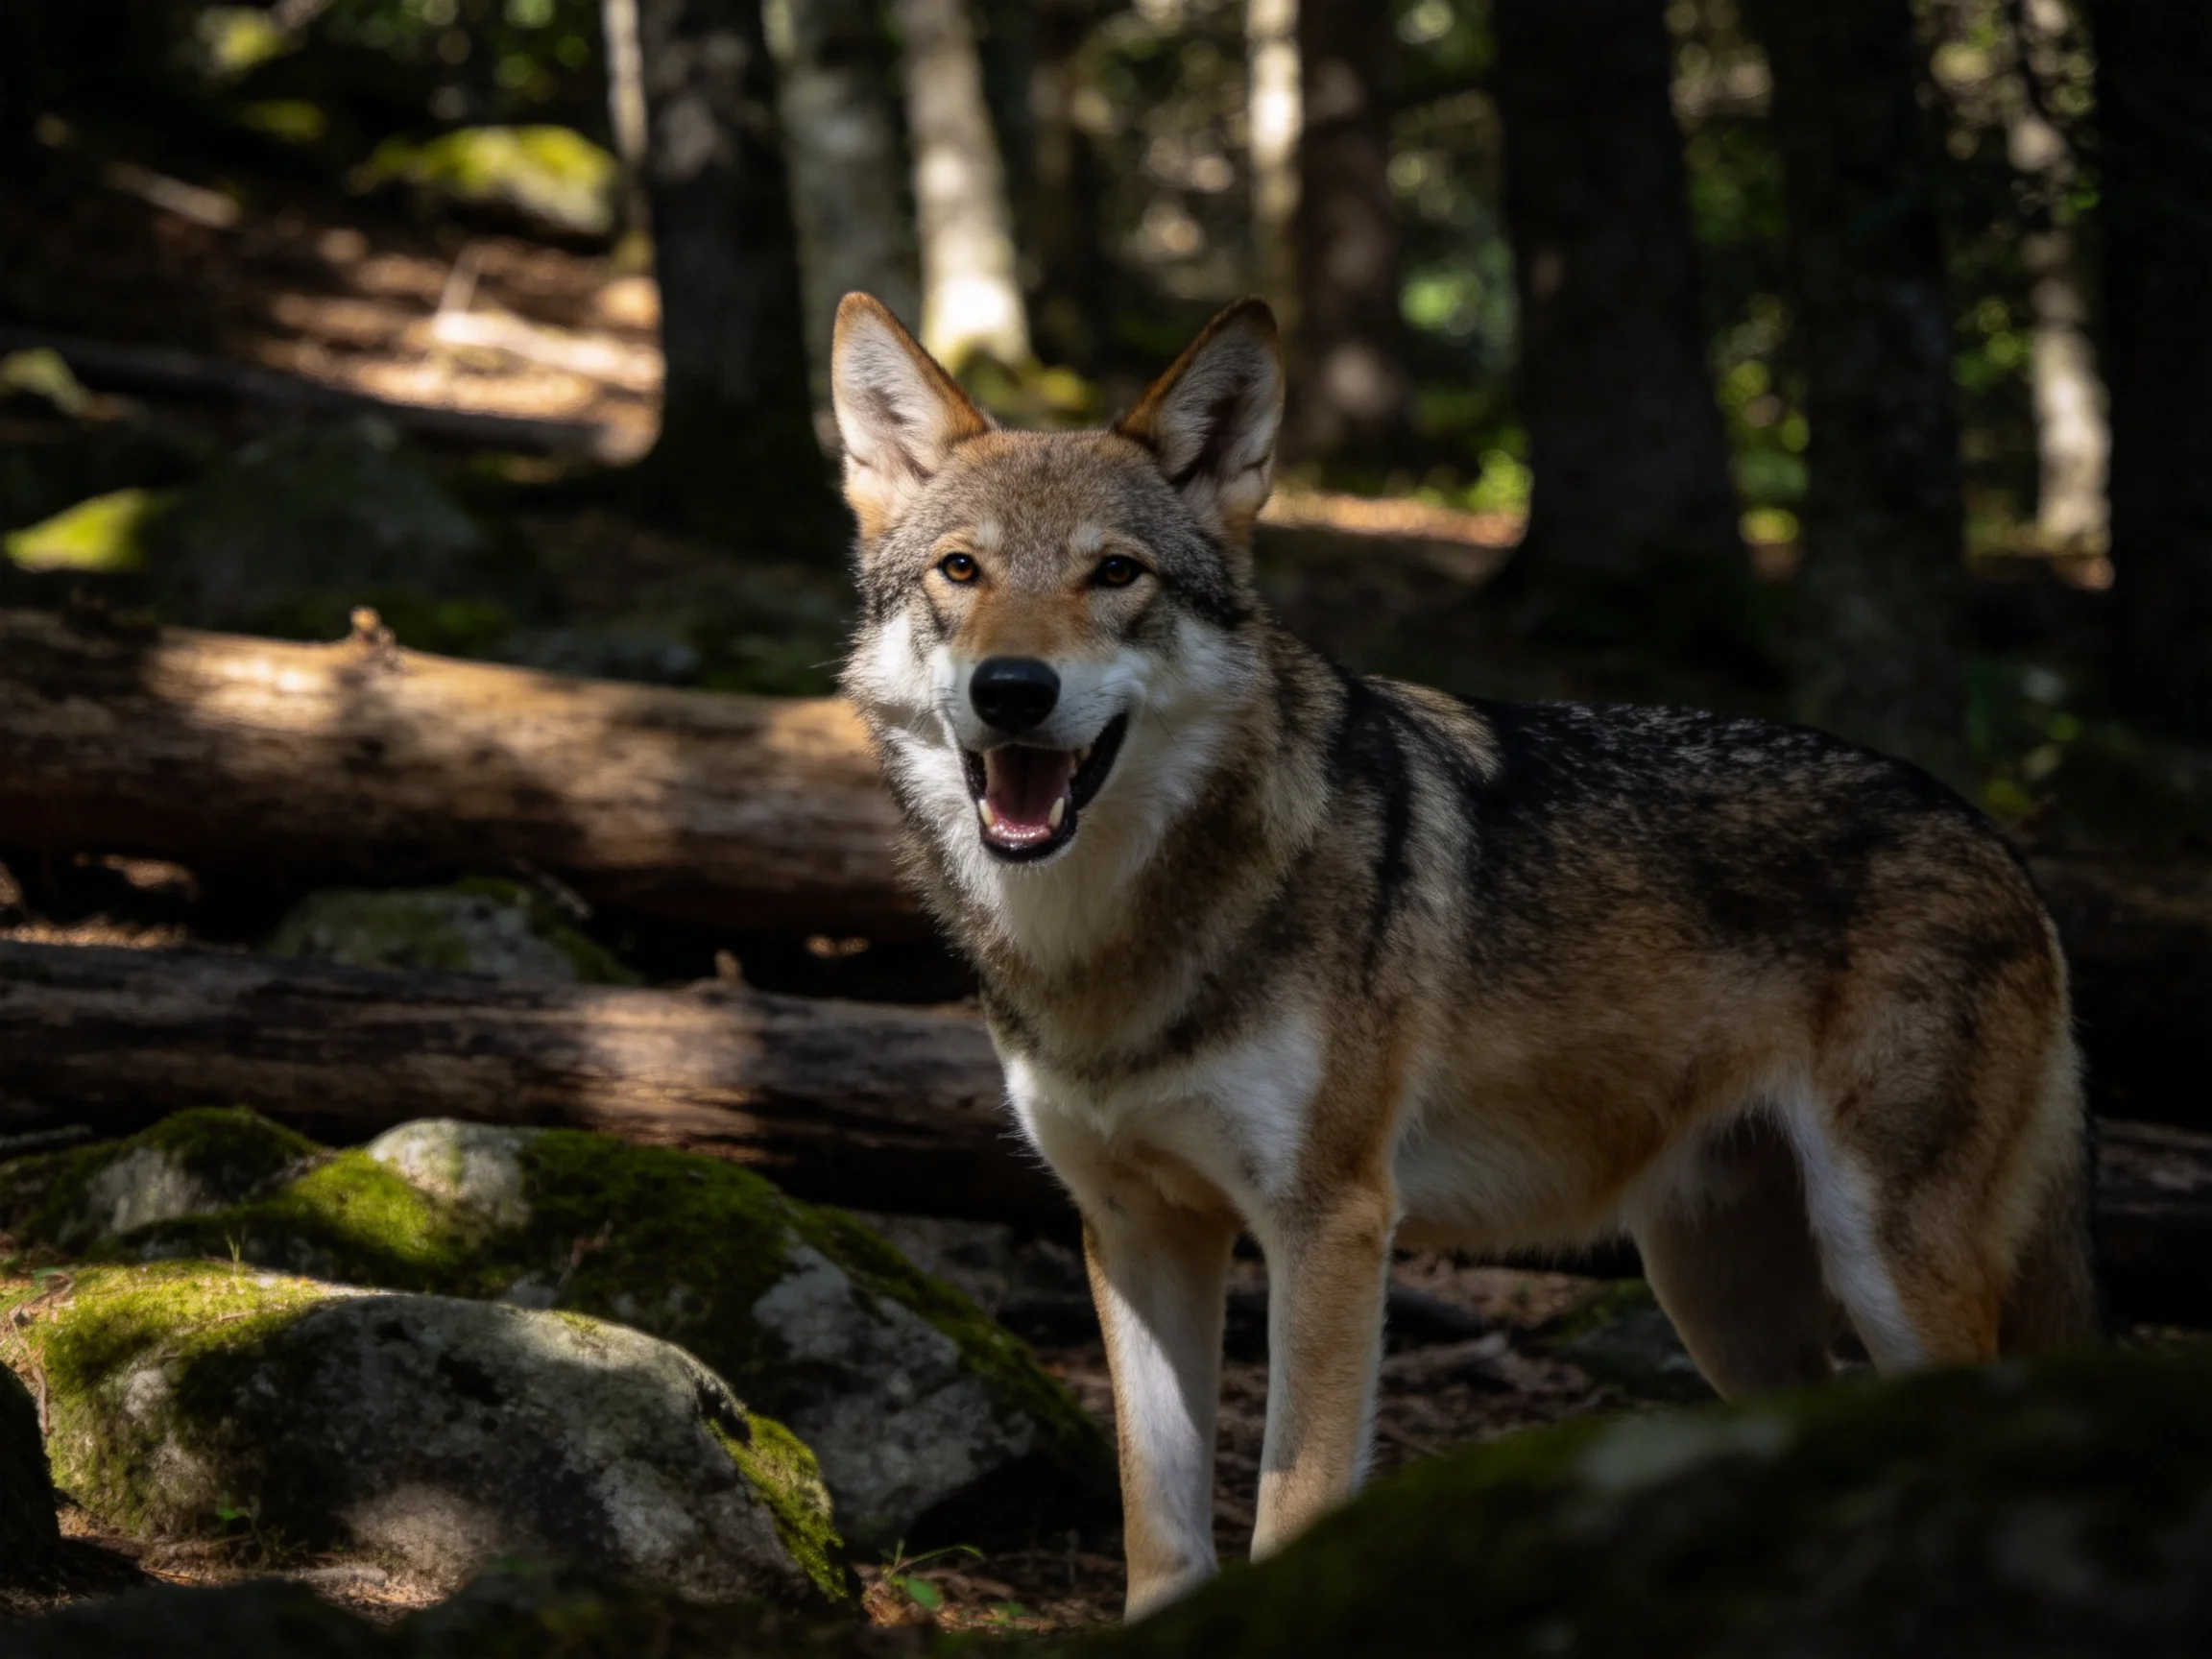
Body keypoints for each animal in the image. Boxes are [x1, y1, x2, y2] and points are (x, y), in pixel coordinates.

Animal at [829, 292, 2097, 1618]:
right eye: (960, 571)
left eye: (1115, 573)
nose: (1012, 690)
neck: (1104, 951)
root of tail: (1999, 838)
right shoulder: (1136, 1230)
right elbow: (1160, 1532)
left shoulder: (1332, 1228)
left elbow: (1291, 1503)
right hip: (1717, 1292)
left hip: (1883, 1267)